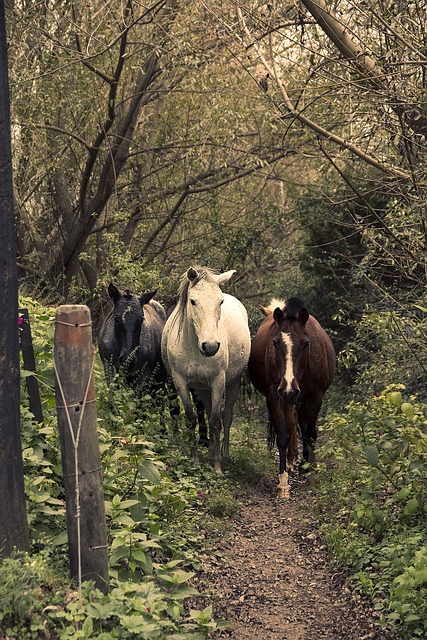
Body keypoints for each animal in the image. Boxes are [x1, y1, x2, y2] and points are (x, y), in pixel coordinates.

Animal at [161, 266, 251, 472]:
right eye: (193, 301)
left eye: (220, 301)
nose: (210, 346)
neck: (194, 348)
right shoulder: (180, 382)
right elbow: (192, 418)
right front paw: (195, 460)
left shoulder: (218, 381)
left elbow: (215, 421)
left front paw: (216, 466)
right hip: (203, 389)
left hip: (232, 384)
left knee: (226, 417)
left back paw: (224, 454)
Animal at [248, 297, 336, 498]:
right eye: (275, 343)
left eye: (305, 343)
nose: (289, 387)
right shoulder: (275, 397)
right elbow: (283, 435)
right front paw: (283, 482)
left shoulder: (315, 398)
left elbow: (310, 434)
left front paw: (311, 471)